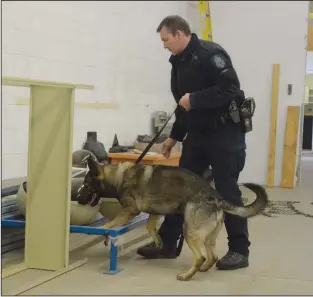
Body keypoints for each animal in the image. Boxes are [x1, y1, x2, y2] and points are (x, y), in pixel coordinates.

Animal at [77, 156, 266, 280]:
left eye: (85, 186)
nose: (78, 200)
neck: (117, 176)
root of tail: (217, 198)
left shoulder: (130, 210)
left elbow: (111, 224)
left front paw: (104, 233)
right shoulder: (154, 211)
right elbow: (150, 226)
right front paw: (157, 241)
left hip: (190, 232)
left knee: (201, 257)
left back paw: (187, 275)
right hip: (205, 237)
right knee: (212, 257)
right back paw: (203, 269)